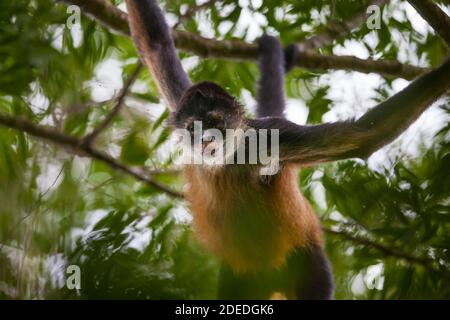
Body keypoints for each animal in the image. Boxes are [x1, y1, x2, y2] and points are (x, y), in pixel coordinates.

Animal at [125, 0, 450, 300]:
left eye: (215, 121)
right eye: (194, 127)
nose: (206, 139)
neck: (225, 163)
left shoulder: (269, 135)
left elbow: (363, 136)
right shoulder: (181, 103)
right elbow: (154, 44)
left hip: (306, 262)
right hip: (241, 278)